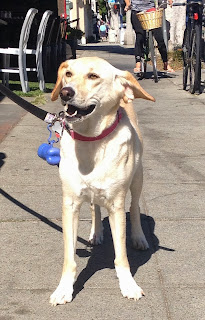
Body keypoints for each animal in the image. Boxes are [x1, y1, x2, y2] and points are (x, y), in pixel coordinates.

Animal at [49, 57, 155, 304]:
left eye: (93, 76)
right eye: (68, 74)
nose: (65, 92)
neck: (91, 140)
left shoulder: (116, 205)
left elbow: (121, 255)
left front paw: (128, 285)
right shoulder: (70, 204)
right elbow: (69, 258)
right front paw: (64, 289)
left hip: (137, 179)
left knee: (136, 207)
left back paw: (139, 237)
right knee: (95, 207)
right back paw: (96, 233)